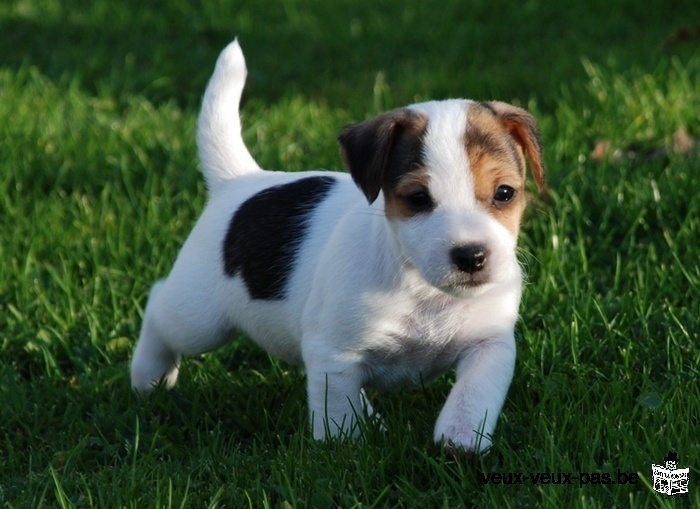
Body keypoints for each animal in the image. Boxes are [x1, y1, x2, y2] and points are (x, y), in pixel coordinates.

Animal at [133, 40, 548, 452]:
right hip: (200, 318)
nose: (471, 256)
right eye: (417, 198)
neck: (423, 289)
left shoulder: (490, 343)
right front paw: (343, 448)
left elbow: (474, 394)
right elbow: (339, 412)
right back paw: (148, 376)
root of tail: (240, 181)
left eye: (505, 193)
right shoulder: (333, 353)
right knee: (159, 305)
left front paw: (460, 441)